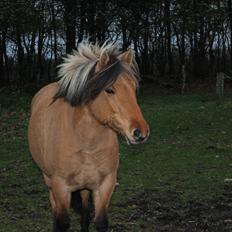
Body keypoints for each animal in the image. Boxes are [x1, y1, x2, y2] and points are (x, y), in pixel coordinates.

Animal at [28, 40, 150, 231]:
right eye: (109, 90)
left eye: (134, 88)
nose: (140, 132)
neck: (86, 144)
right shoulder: (60, 186)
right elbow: (62, 222)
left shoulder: (106, 185)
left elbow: (99, 221)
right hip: (49, 181)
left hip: (85, 187)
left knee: (85, 211)